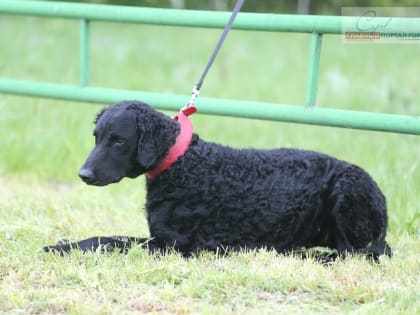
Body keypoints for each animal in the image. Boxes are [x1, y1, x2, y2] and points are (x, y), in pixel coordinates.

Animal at [44, 101, 392, 262]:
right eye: (96, 136)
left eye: (118, 140)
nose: (83, 175)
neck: (182, 164)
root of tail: (382, 198)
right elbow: (109, 237)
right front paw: (63, 242)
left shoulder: (172, 245)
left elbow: (108, 239)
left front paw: (60, 247)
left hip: (346, 192)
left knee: (356, 253)